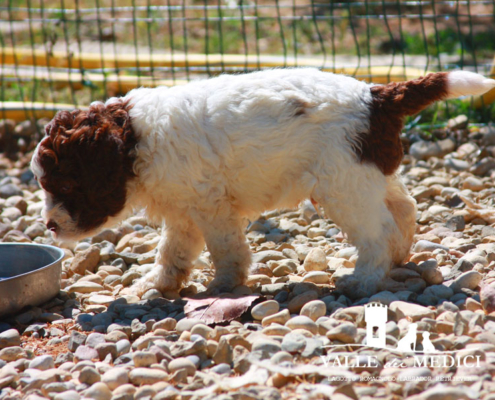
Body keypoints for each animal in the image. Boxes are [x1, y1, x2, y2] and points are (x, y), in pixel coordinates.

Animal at [30, 69, 495, 298]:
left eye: (65, 186)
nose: (50, 225)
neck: (134, 140)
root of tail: (376, 96)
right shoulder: (183, 209)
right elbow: (173, 251)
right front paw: (158, 284)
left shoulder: (209, 204)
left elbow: (225, 248)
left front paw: (224, 285)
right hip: (367, 173)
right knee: (403, 208)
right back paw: (398, 258)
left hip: (342, 183)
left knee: (376, 231)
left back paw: (364, 281)